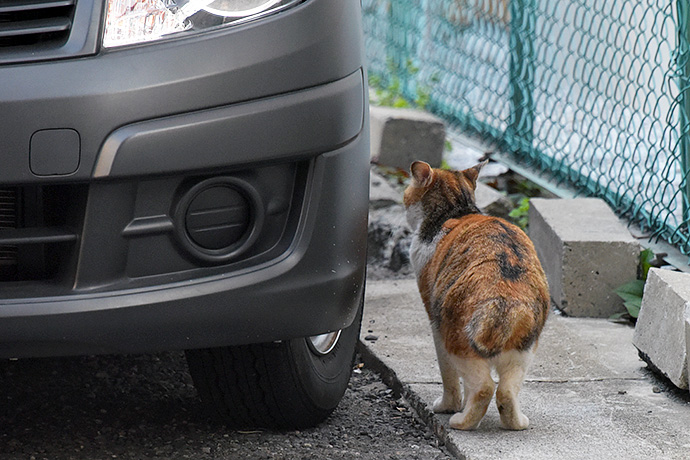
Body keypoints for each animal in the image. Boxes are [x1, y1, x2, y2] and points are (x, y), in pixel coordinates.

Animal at [404, 160, 548, 430]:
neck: (456, 211)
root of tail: (506, 299)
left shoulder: (434, 320)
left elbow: (448, 377)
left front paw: (448, 405)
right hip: (524, 351)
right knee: (506, 391)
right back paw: (516, 422)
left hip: (456, 339)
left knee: (484, 387)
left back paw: (461, 421)